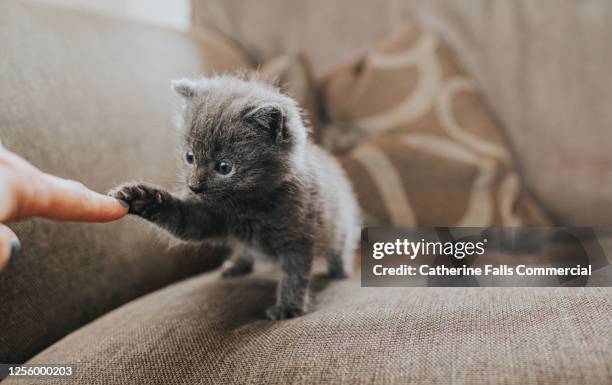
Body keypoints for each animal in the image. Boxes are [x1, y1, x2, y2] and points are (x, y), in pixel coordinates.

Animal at [110, 74, 360, 318]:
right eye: (190, 157)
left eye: (224, 167)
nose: (193, 186)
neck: (245, 206)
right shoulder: (205, 216)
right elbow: (181, 219)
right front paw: (140, 197)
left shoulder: (298, 236)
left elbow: (295, 273)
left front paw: (288, 307)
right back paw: (238, 265)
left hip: (342, 221)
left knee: (340, 245)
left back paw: (339, 270)